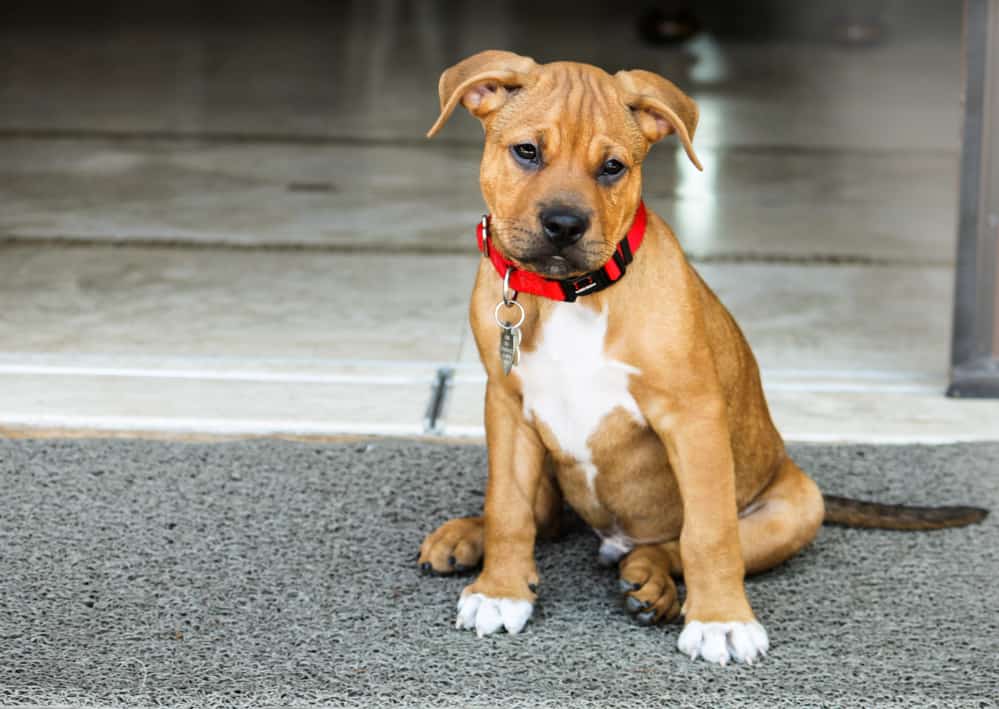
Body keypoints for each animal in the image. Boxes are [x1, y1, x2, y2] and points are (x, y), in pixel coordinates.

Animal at [418, 49, 988, 664]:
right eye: (526, 151)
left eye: (612, 168)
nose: (565, 225)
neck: (572, 294)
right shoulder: (507, 405)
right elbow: (509, 507)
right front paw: (502, 589)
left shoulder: (693, 418)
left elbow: (709, 534)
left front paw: (721, 621)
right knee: (547, 517)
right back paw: (465, 535)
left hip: (795, 506)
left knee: (672, 545)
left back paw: (651, 582)